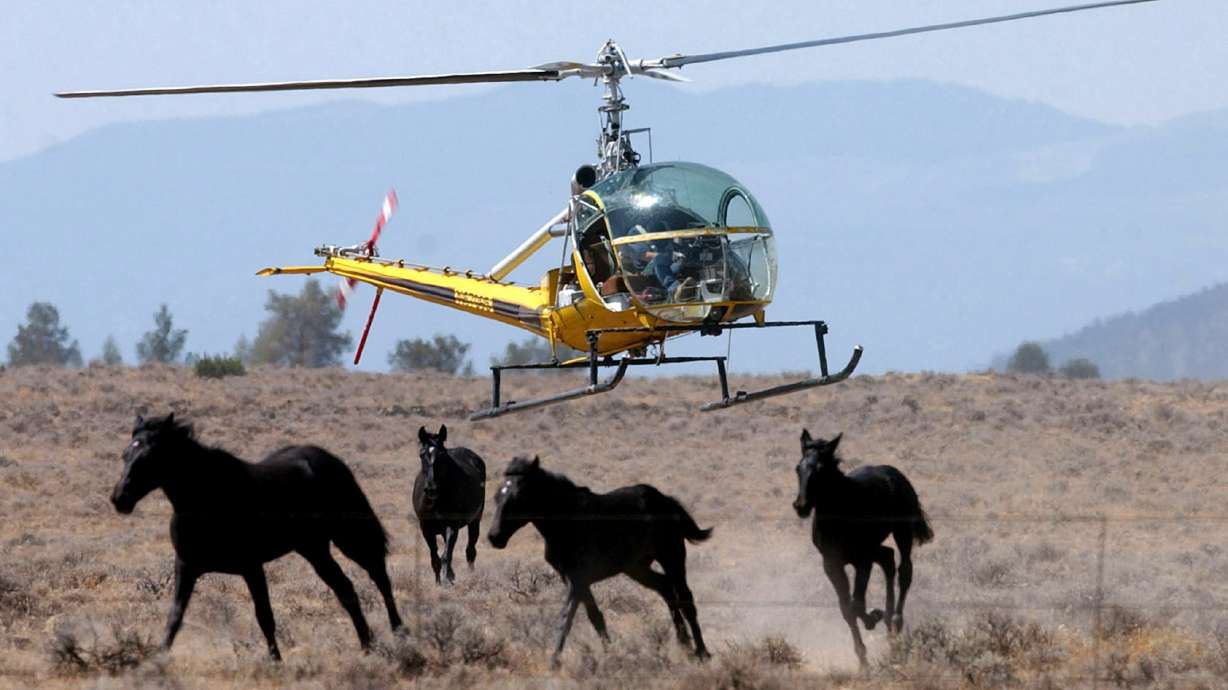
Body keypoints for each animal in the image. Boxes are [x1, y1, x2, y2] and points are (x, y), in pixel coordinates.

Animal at [109, 413, 403, 660]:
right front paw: (159, 657)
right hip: (314, 549)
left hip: (350, 538)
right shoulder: (186, 566)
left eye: (150, 456)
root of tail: (328, 459)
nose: (119, 499)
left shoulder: (251, 567)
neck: (207, 499)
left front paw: (276, 661)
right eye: (125, 454)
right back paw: (366, 645)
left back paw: (400, 632)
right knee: (347, 590)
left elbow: (265, 616)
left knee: (379, 575)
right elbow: (175, 616)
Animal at [411, 425, 486, 584]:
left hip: (475, 521)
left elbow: (446, 556)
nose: (431, 489)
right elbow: (435, 558)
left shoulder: (452, 525)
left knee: (470, 550)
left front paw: (446, 581)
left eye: (442, 455)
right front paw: (439, 582)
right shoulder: (425, 528)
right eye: (421, 454)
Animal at [487, 456, 712, 666]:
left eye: (519, 496)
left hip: (671, 557)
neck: (566, 522)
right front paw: (611, 654)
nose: (494, 537)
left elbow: (566, 617)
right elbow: (595, 617)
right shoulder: (574, 579)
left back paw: (702, 653)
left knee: (686, 599)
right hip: (636, 567)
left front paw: (554, 662)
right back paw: (684, 645)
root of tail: (665, 499)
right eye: (497, 495)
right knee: (665, 588)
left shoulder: (577, 579)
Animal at [792, 430, 933, 668]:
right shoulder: (831, 564)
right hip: (875, 546)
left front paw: (873, 617)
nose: (801, 506)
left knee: (904, 569)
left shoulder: (862, 560)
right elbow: (846, 608)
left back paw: (894, 621)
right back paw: (888, 621)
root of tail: (894, 473)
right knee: (887, 557)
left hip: (902, 532)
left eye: (821, 469)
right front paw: (863, 660)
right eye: (798, 468)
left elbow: (856, 604)